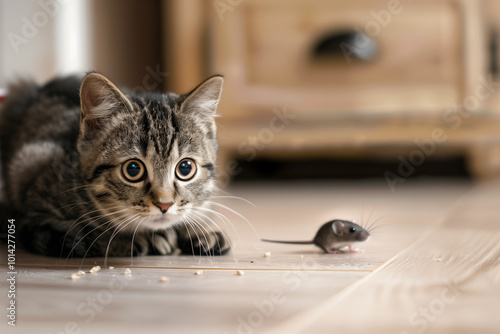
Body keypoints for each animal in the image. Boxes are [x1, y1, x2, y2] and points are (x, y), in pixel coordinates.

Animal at [0, 72, 229, 258]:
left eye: (185, 168)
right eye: (133, 169)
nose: (165, 205)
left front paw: (200, 232)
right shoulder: (29, 171)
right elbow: (86, 234)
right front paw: (133, 239)